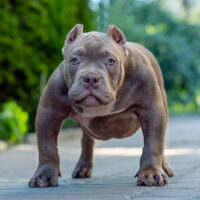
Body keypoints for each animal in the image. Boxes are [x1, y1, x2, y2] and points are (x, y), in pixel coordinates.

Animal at [28, 23, 173, 188]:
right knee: (86, 140)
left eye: (110, 61)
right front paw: (44, 175)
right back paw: (83, 167)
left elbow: (153, 144)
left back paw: (164, 167)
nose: (91, 77)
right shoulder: (48, 112)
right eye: (74, 60)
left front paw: (151, 173)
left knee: (161, 141)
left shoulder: (152, 111)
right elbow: (47, 147)